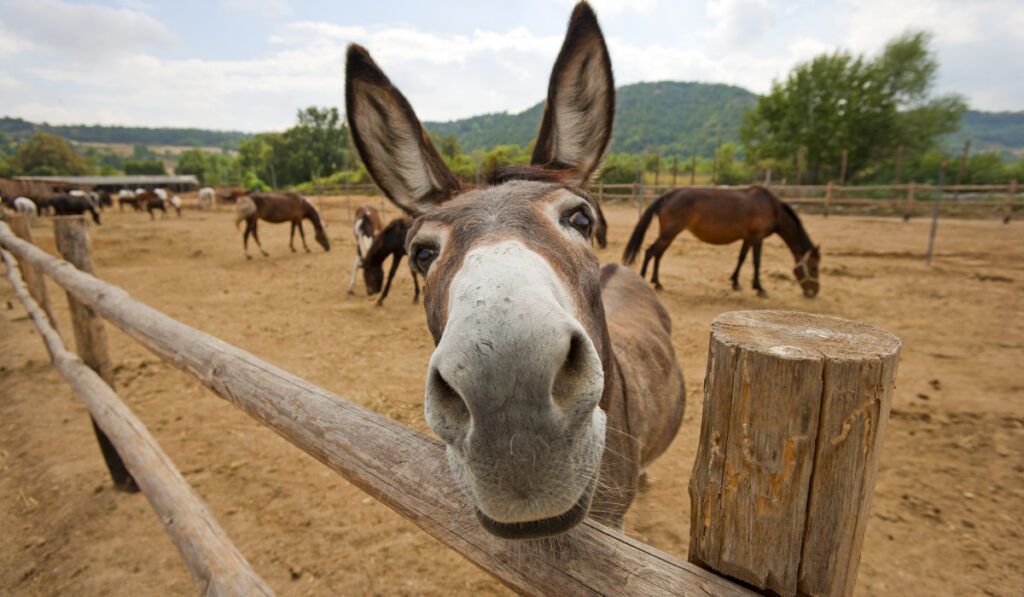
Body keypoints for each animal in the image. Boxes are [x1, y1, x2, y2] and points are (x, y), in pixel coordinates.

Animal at [618, 185, 819, 296]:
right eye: (814, 267)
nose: (814, 292)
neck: (772, 208)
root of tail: (667, 195)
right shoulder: (757, 237)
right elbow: (756, 262)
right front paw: (759, 288)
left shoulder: (747, 238)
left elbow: (741, 258)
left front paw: (735, 282)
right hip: (669, 233)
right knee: (650, 252)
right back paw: (643, 281)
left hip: (669, 234)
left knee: (658, 254)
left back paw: (657, 282)